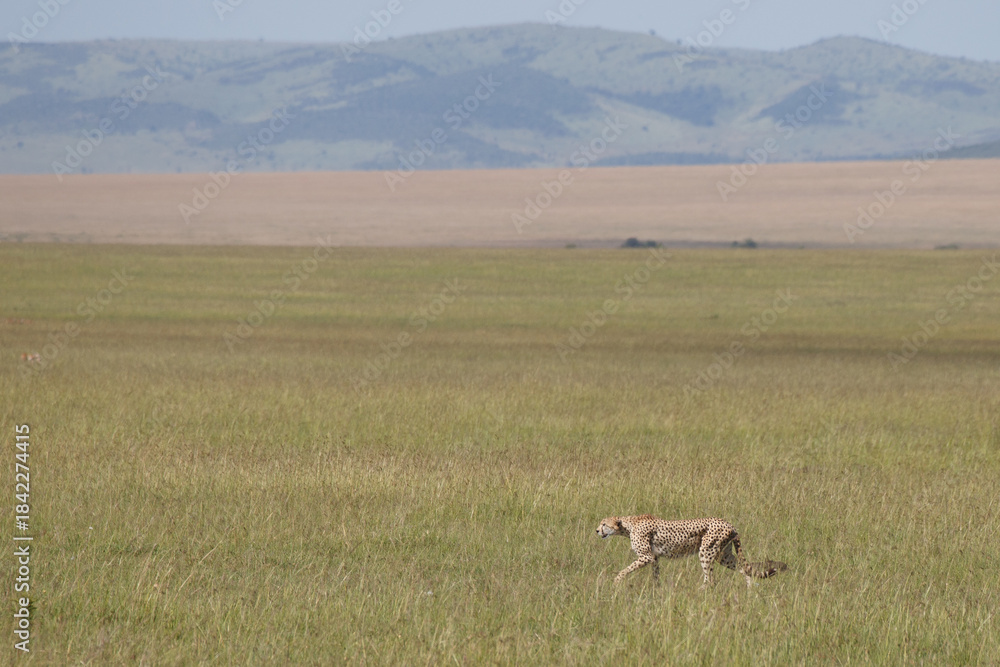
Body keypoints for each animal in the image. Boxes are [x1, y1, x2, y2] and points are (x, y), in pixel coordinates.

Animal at [596, 515, 787, 588]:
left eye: (604, 524)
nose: (597, 530)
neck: (628, 525)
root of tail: (729, 523)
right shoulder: (654, 558)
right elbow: (655, 574)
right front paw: (657, 589)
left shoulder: (647, 556)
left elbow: (625, 570)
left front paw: (616, 581)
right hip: (724, 556)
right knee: (743, 569)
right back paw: (751, 587)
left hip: (706, 551)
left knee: (710, 579)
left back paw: (700, 590)